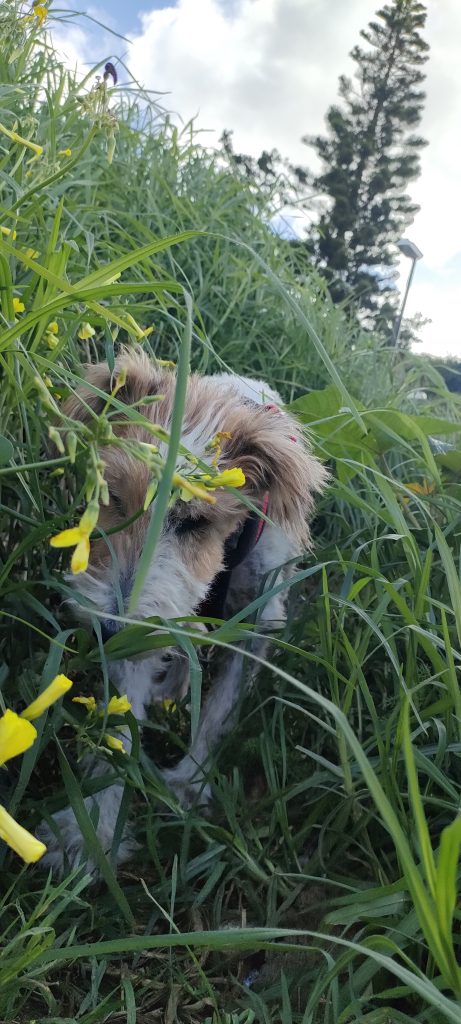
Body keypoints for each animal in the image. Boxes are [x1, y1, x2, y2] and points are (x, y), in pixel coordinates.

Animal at [41, 349, 327, 872]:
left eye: (195, 521)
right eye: (112, 497)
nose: (108, 631)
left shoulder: (257, 626)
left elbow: (219, 713)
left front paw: (189, 784)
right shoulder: (143, 630)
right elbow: (121, 726)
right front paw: (92, 829)